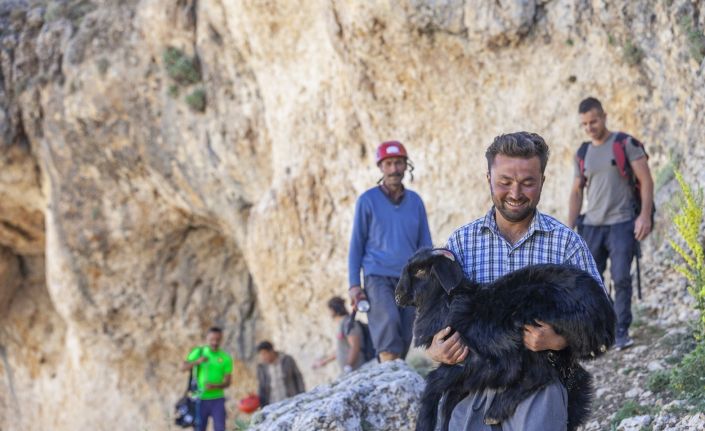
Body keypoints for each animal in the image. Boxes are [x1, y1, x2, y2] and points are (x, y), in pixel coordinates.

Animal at [396, 248, 616, 430]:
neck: (445, 304)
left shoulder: (474, 362)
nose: (398, 295)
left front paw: (424, 424)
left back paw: (495, 411)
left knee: (540, 374)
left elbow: (433, 385)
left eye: (421, 271)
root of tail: (604, 315)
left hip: (532, 333)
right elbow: (448, 401)